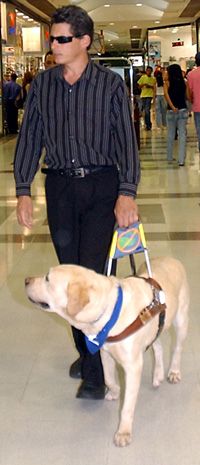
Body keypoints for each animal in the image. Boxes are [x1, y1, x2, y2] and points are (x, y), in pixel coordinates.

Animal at [25, 256, 189, 448]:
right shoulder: (105, 353)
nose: (26, 280)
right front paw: (115, 392)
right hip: (155, 325)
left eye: (48, 279)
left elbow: (127, 406)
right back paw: (157, 375)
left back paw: (173, 372)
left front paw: (123, 432)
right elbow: (109, 379)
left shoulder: (133, 366)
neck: (109, 312)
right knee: (159, 346)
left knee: (177, 348)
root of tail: (171, 258)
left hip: (181, 320)